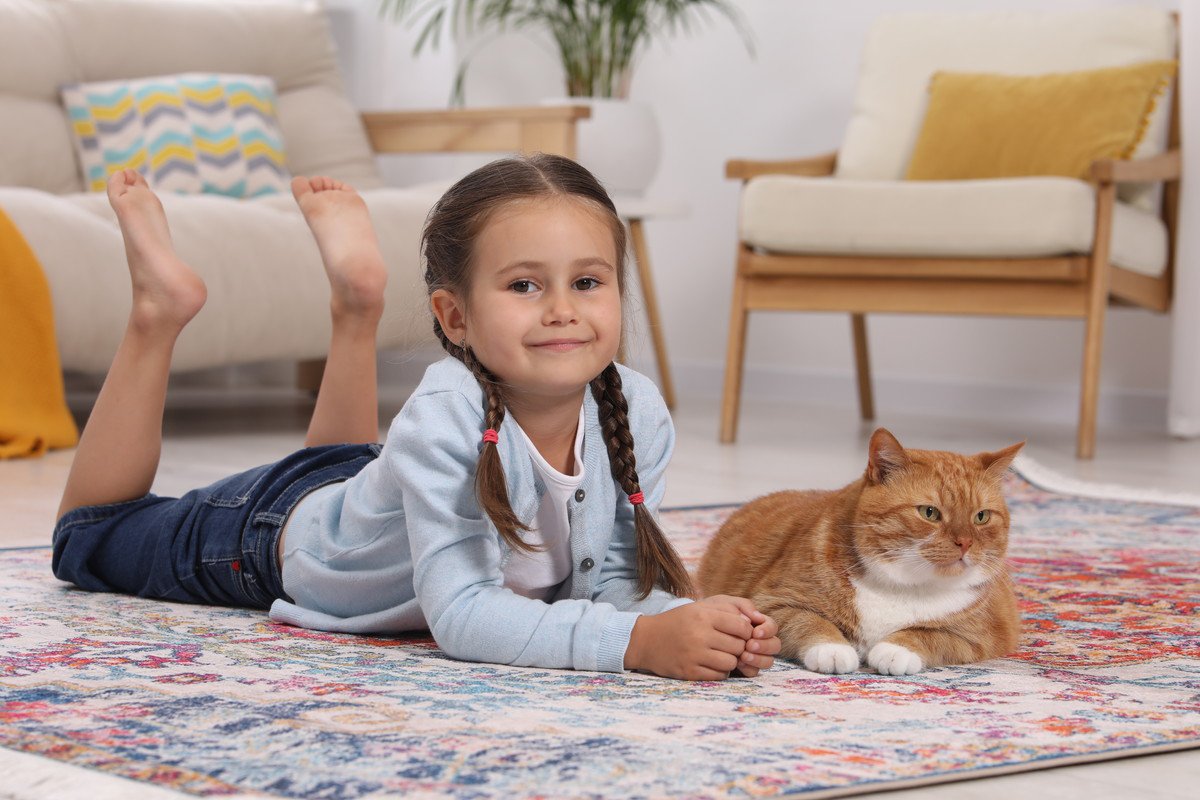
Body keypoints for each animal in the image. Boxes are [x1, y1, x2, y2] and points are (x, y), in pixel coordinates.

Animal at [700, 429, 1027, 671]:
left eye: (981, 517)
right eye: (930, 512)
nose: (965, 543)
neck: (903, 586)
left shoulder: (985, 635)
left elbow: (932, 635)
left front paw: (896, 650)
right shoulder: (772, 603)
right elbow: (809, 621)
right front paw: (832, 649)